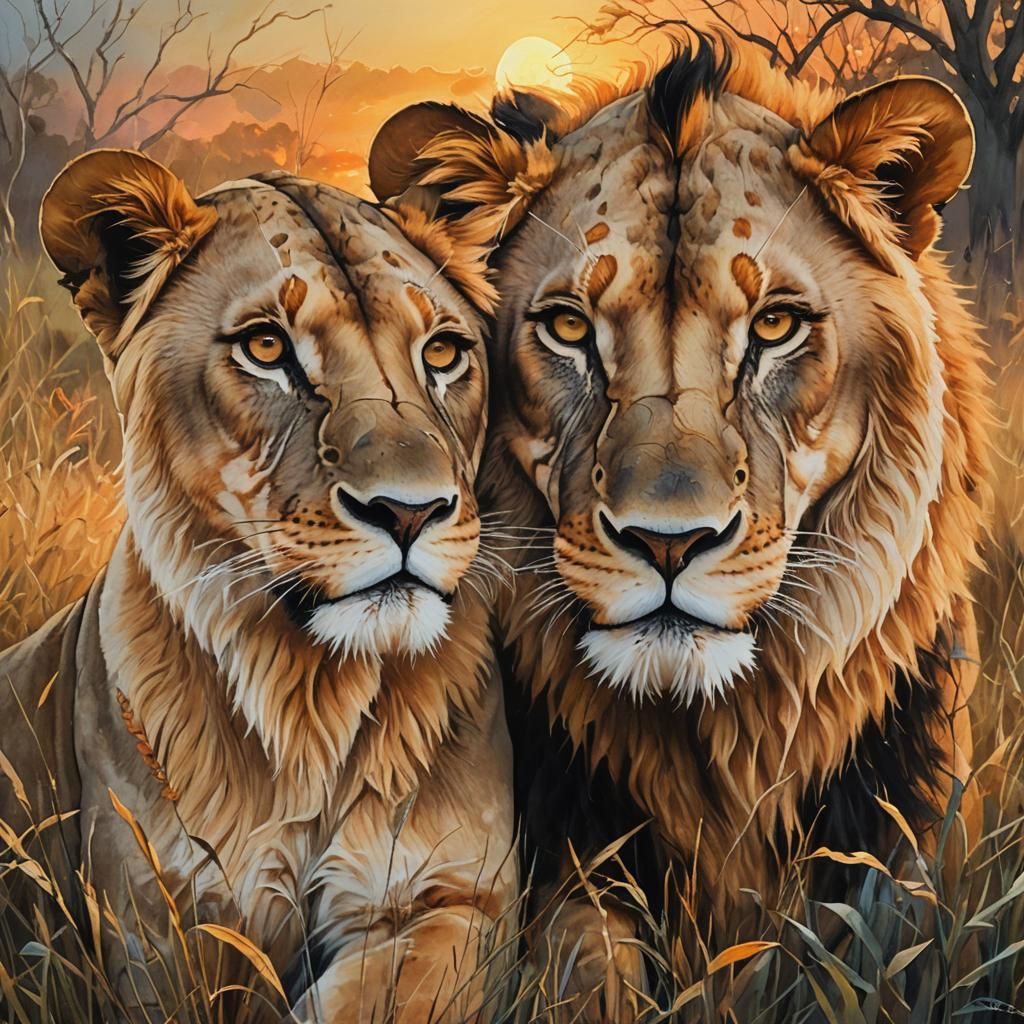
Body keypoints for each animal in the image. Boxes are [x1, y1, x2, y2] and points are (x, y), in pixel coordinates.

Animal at [0, 150, 515, 1023]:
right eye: (267, 347)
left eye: (443, 353)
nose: (410, 512)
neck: (312, 700)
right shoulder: (161, 933)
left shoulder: (454, 899)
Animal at [369, 34, 991, 1018]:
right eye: (568, 327)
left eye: (775, 325)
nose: (669, 542)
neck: (722, 740)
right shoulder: (571, 869)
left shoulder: (907, 854)